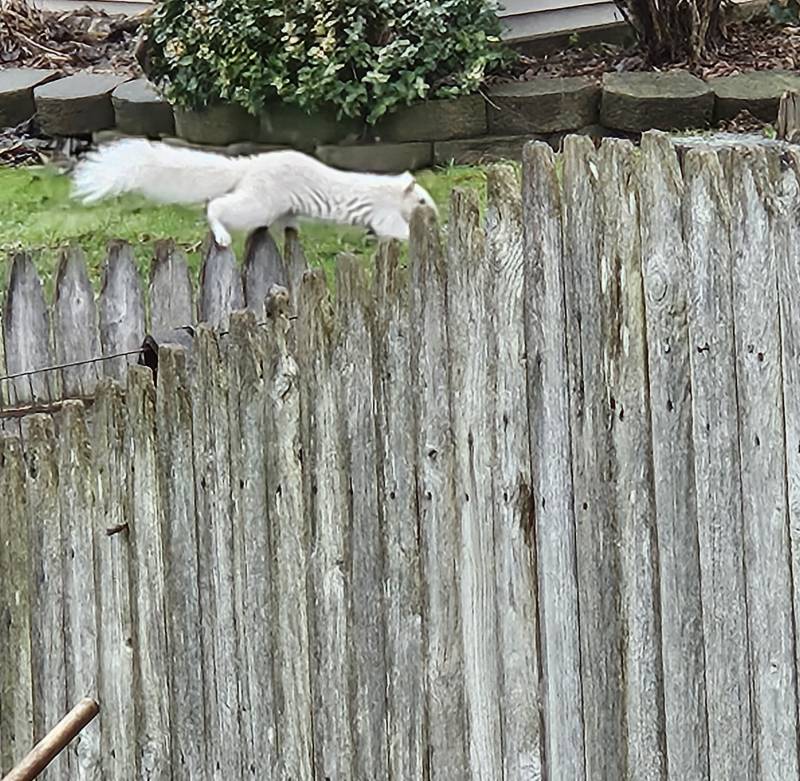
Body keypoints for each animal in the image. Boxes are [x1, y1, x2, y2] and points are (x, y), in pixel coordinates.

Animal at [70, 138, 438, 247]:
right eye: (422, 200)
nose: (433, 215)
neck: (392, 190)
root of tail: (249, 168)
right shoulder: (384, 211)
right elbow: (397, 229)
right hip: (260, 201)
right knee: (218, 206)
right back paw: (221, 235)